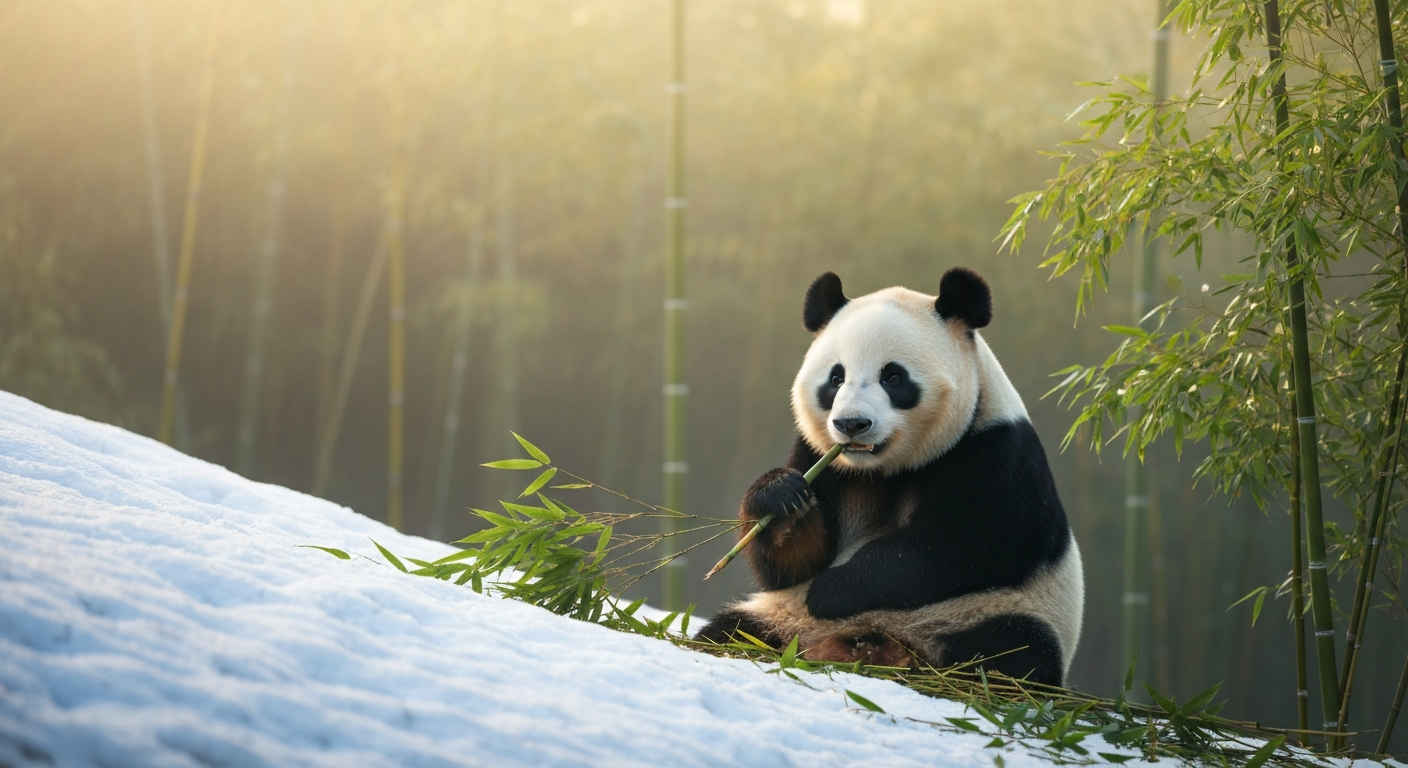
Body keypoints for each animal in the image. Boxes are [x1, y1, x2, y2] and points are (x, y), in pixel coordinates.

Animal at [695, 267, 1084, 687]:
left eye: (893, 377)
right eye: (836, 378)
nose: (851, 424)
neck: (884, 470)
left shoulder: (995, 452)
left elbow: (965, 544)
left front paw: (832, 590)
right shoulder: (819, 457)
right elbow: (793, 564)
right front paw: (781, 497)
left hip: (996, 611)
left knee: (1013, 649)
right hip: (779, 618)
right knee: (730, 632)